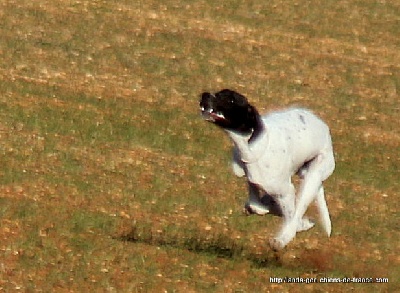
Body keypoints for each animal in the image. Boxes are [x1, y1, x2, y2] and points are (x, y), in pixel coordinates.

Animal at [200, 89, 334, 249]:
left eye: (231, 99)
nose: (204, 95)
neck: (250, 144)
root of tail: (323, 126)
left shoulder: (286, 191)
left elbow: (290, 216)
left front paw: (293, 229)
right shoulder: (253, 183)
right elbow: (256, 205)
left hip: (312, 178)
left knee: (296, 213)